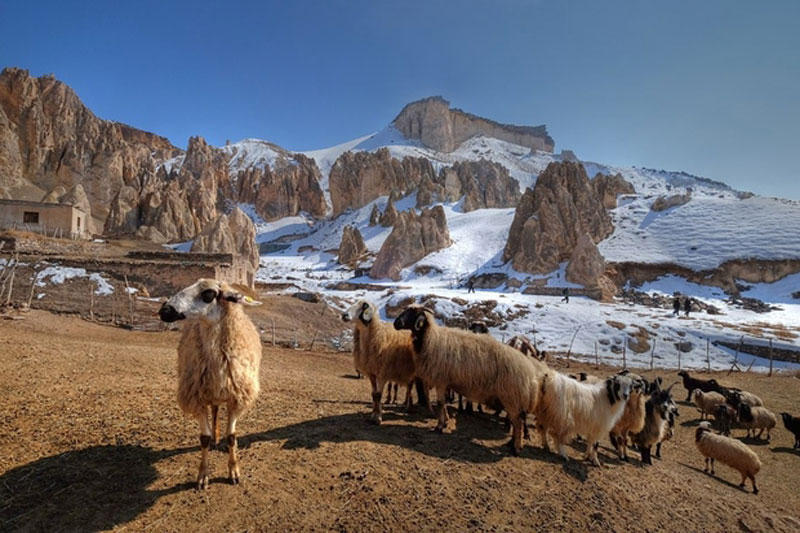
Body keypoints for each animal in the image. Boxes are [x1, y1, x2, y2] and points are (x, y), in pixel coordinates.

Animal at [159, 278, 262, 490]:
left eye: (208, 294)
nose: (164, 310)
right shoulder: (197, 399)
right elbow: (204, 439)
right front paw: (202, 475)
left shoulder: (236, 399)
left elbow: (232, 437)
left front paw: (234, 472)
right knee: (214, 412)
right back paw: (215, 436)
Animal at [396, 306, 552, 456]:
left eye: (412, 312)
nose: (396, 323)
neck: (430, 338)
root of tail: (528, 368)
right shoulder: (445, 382)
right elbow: (444, 404)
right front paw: (445, 421)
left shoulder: (441, 380)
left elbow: (440, 403)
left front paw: (439, 426)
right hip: (513, 398)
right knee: (516, 420)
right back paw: (511, 444)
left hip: (511, 396)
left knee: (518, 422)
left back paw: (516, 448)